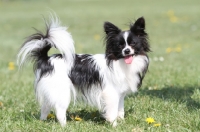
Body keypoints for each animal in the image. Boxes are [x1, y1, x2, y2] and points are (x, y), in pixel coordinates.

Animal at [17, 14, 150, 126]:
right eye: (120, 45)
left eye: (133, 44)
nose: (126, 51)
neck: (119, 62)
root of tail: (47, 59)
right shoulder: (110, 94)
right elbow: (112, 112)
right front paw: (114, 125)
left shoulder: (120, 94)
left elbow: (120, 110)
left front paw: (121, 122)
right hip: (62, 92)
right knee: (60, 110)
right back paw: (64, 126)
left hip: (52, 91)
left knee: (45, 107)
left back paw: (43, 121)